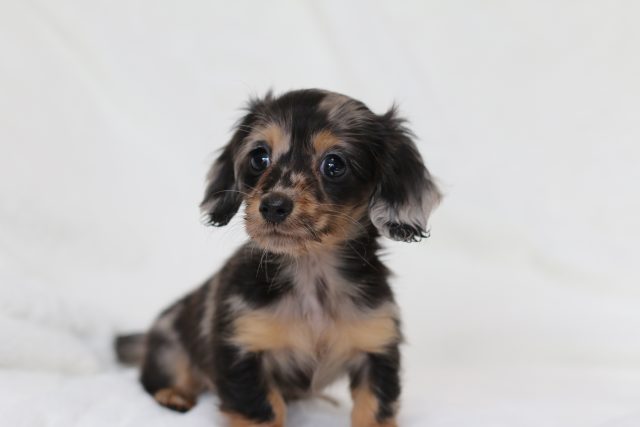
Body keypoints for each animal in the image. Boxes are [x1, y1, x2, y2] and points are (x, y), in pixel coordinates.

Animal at [115, 89, 440, 427]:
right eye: (260, 157)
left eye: (334, 164)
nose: (273, 206)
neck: (311, 274)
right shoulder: (243, 349)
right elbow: (265, 410)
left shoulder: (376, 350)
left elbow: (373, 410)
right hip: (170, 346)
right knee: (156, 377)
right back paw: (173, 394)